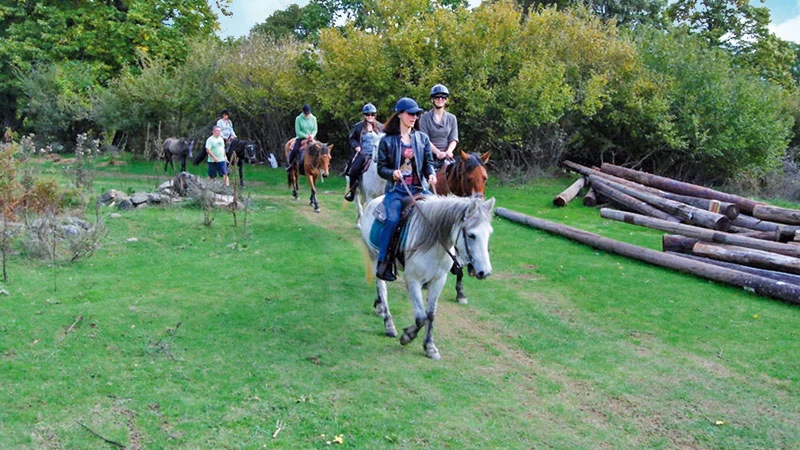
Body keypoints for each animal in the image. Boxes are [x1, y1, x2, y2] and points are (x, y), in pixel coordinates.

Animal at [360, 195, 494, 360]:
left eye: (489, 233)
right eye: (471, 235)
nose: (485, 272)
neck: (433, 245)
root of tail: (374, 201)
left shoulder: (438, 280)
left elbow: (430, 314)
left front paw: (430, 346)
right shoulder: (413, 280)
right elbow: (421, 317)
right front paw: (407, 336)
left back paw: (379, 308)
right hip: (374, 258)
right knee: (382, 289)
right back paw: (388, 323)